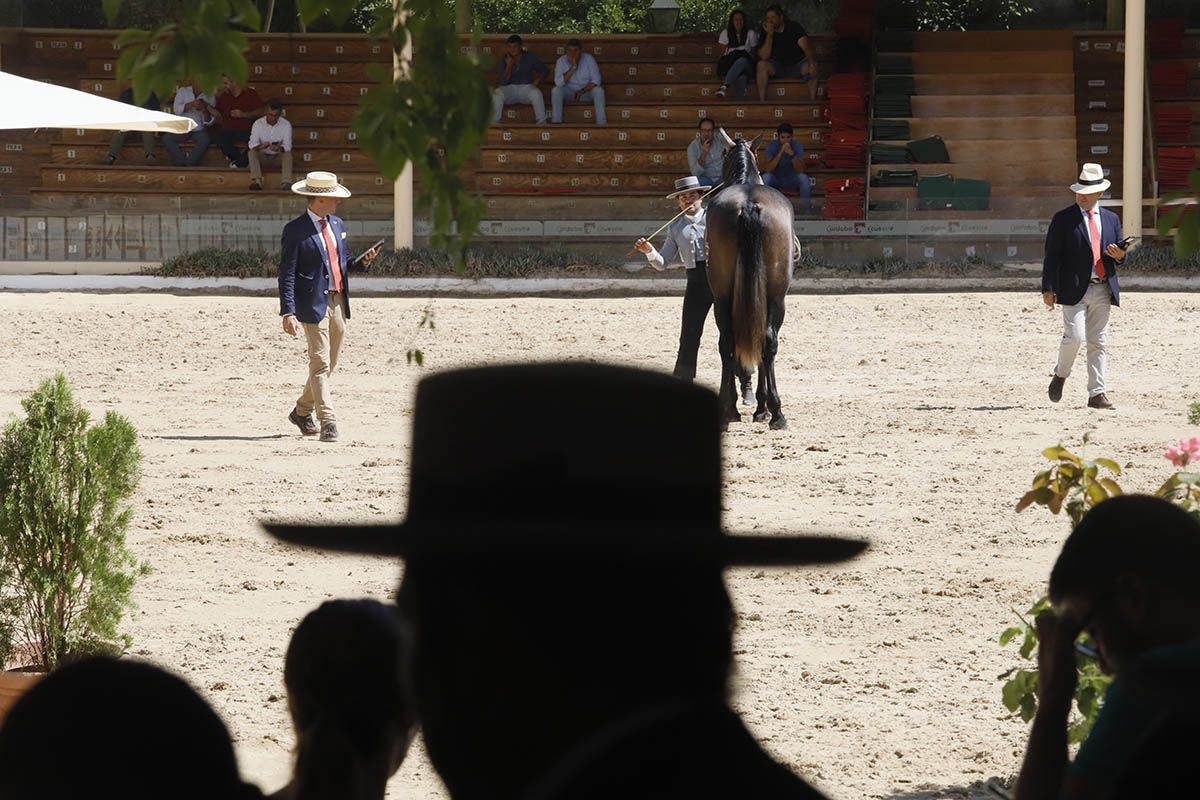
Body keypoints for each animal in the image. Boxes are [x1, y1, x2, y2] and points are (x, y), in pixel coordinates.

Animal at [705, 133, 792, 429]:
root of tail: (748, 204)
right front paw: (761, 407)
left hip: (726, 296)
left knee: (734, 341)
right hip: (773, 297)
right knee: (763, 341)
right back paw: (771, 412)